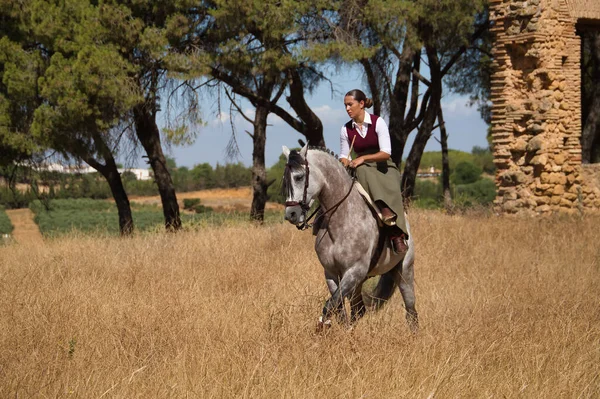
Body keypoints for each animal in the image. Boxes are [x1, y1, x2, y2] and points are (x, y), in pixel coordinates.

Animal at [282, 144, 418, 332]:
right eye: (285, 180)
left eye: (299, 177)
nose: (291, 214)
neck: (341, 218)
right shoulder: (332, 273)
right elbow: (338, 308)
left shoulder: (354, 271)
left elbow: (330, 305)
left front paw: (322, 328)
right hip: (360, 282)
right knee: (358, 310)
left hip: (404, 271)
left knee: (411, 310)